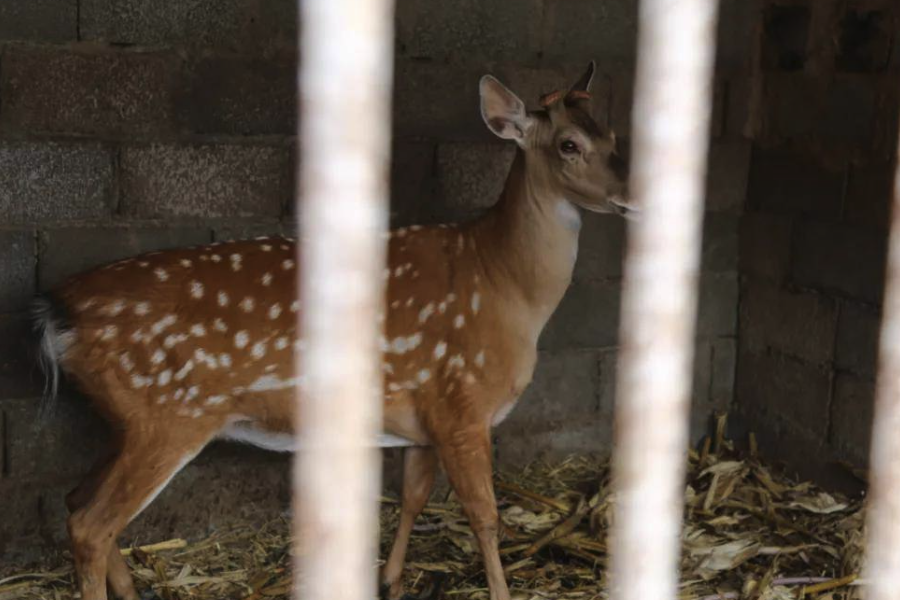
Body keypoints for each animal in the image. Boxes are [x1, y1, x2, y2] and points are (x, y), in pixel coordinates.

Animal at [33, 62, 632, 600]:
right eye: (570, 144)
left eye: (614, 136)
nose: (631, 195)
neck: (503, 284)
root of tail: (56, 315)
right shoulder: (463, 401)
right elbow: (485, 517)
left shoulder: (426, 416)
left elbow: (413, 497)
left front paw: (389, 581)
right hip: (167, 415)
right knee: (91, 524)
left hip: (125, 421)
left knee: (74, 500)